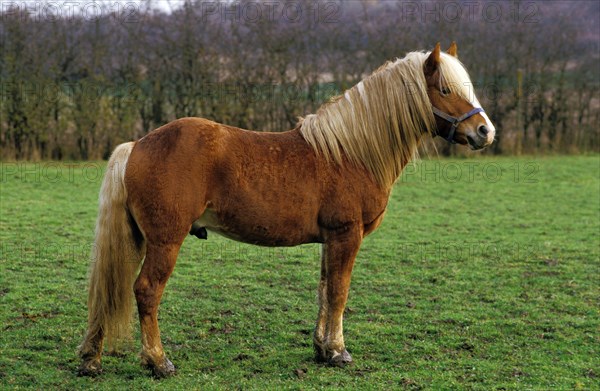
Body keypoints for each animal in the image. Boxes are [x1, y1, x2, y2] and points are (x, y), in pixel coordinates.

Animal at [77, 43, 494, 380]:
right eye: (445, 90)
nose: (484, 131)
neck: (350, 152)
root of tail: (137, 145)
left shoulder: (331, 238)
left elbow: (325, 289)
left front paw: (322, 349)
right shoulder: (347, 234)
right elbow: (339, 292)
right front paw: (339, 352)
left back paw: (91, 359)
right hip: (165, 241)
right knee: (147, 292)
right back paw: (158, 362)